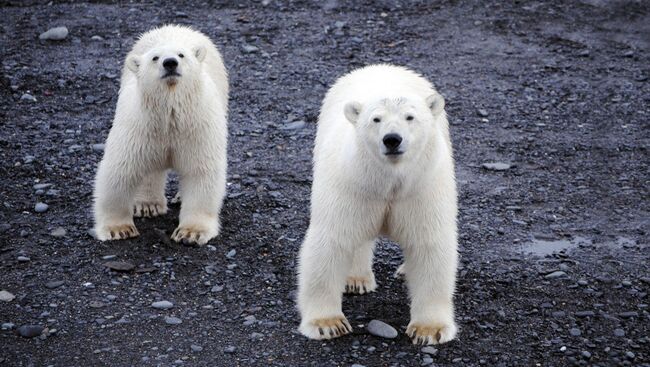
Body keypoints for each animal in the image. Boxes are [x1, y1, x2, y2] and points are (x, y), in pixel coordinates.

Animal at [93, 24, 228, 246]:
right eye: (155, 58)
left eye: (181, 55)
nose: (170, 63)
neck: (170, 116)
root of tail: (174, 26)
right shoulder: (139, 128)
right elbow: (120, 171)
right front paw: (118, 229)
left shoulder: (197, 129)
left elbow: (200, 172)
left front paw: (190, 233)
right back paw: (148, 204)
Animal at [294, 64, 456, 346]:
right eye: (376, 119)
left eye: (410, 117)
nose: (392, 139)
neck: (389, 181)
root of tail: (380, 67)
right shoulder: (353, 183)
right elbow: (333, 239)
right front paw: (327, 324)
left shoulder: (422, 188)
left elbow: (429, 244)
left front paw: (429, 330)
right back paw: (356, 279)